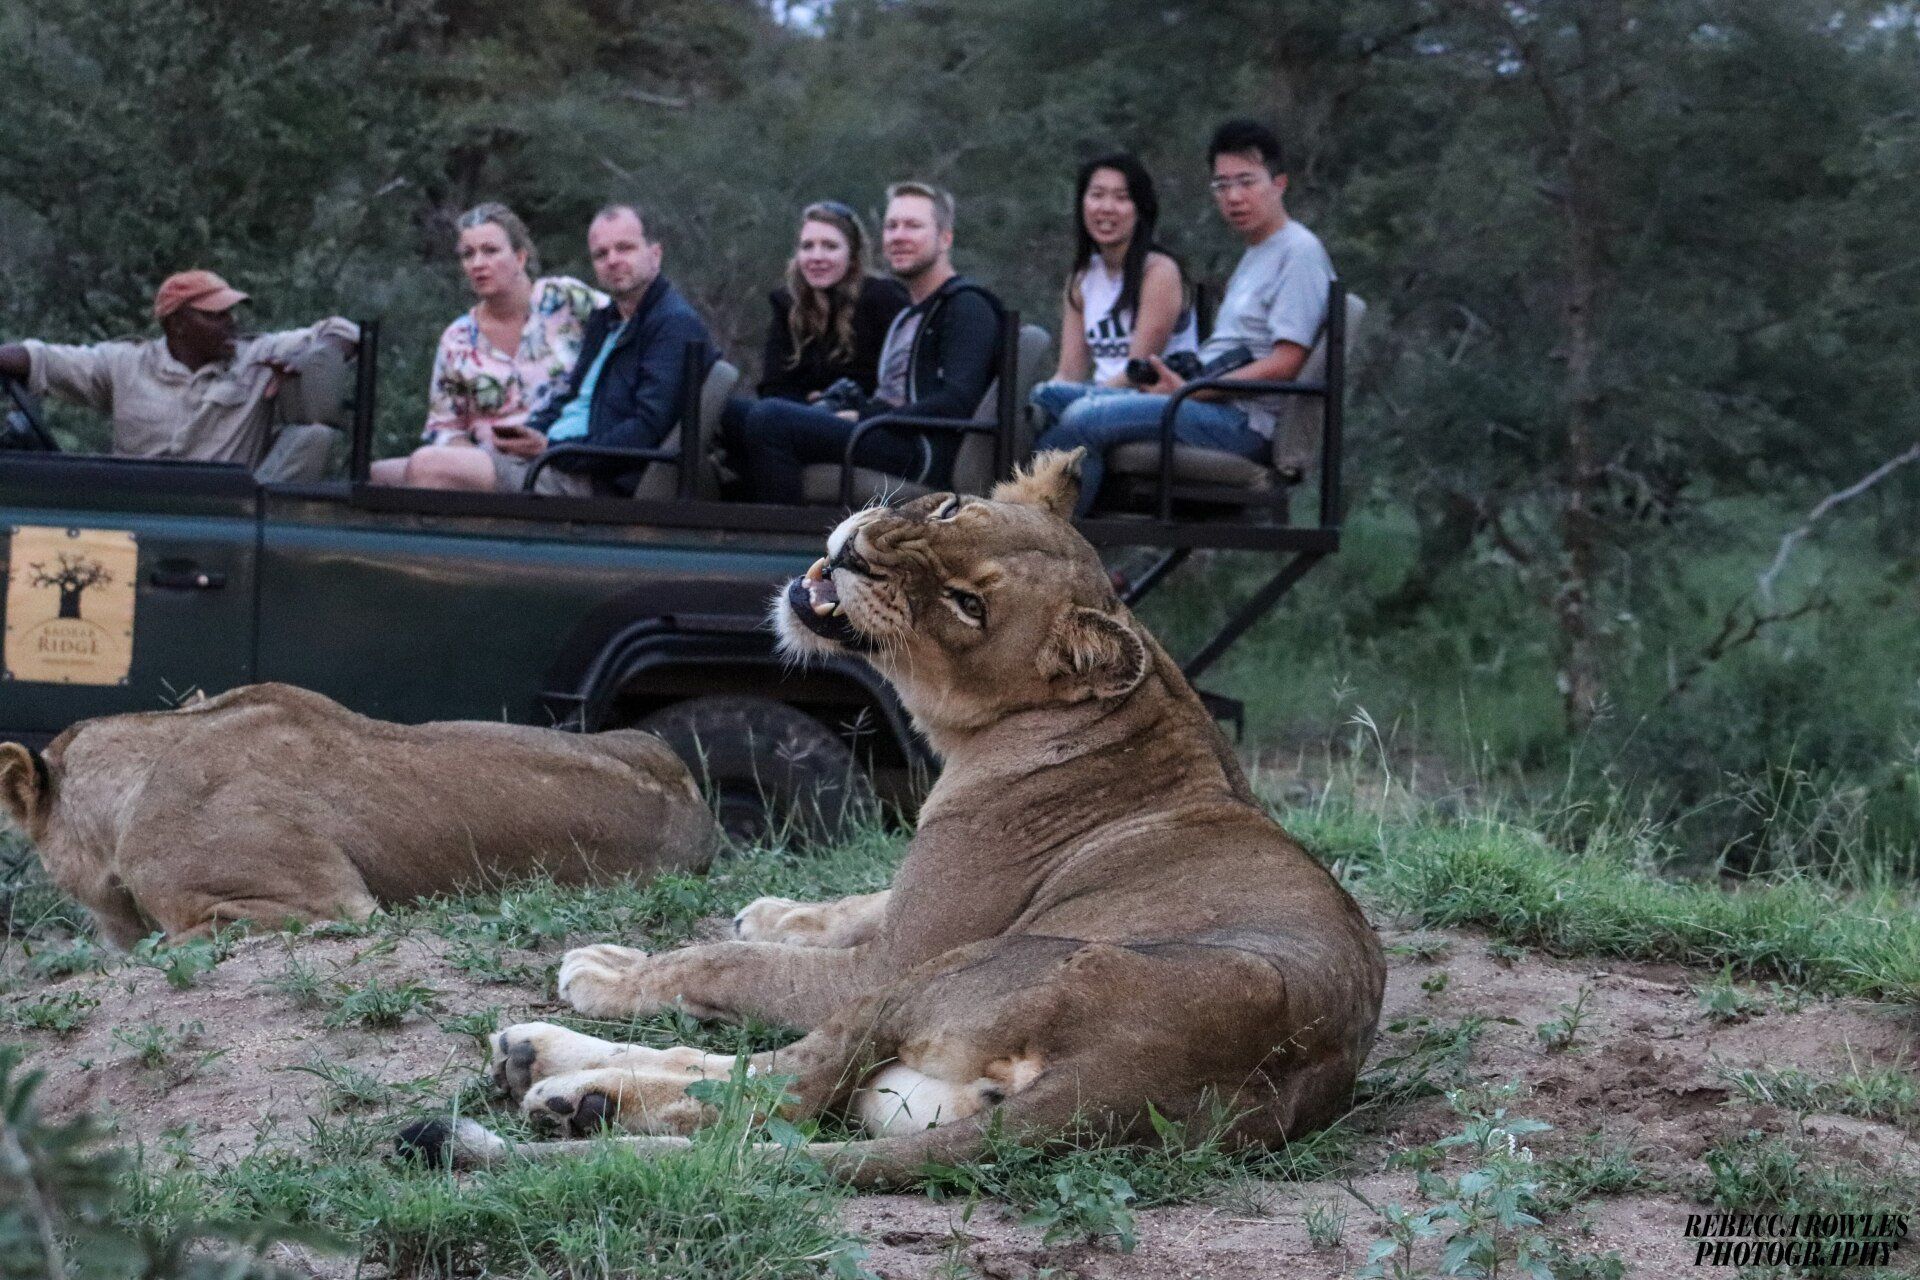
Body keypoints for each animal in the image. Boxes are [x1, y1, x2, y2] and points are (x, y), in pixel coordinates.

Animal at [412, 452, 1390, 1189]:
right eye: (952, 507)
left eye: (969, 605)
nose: (860, 555)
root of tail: (1140, 1075)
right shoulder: (912, 911)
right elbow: (856, 900)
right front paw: (775, 911)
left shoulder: (893, 961)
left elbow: (732, 965)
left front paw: (623, 968)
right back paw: (571, 1093)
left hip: (946, 975)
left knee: (770, 1090)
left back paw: (557, 1075)